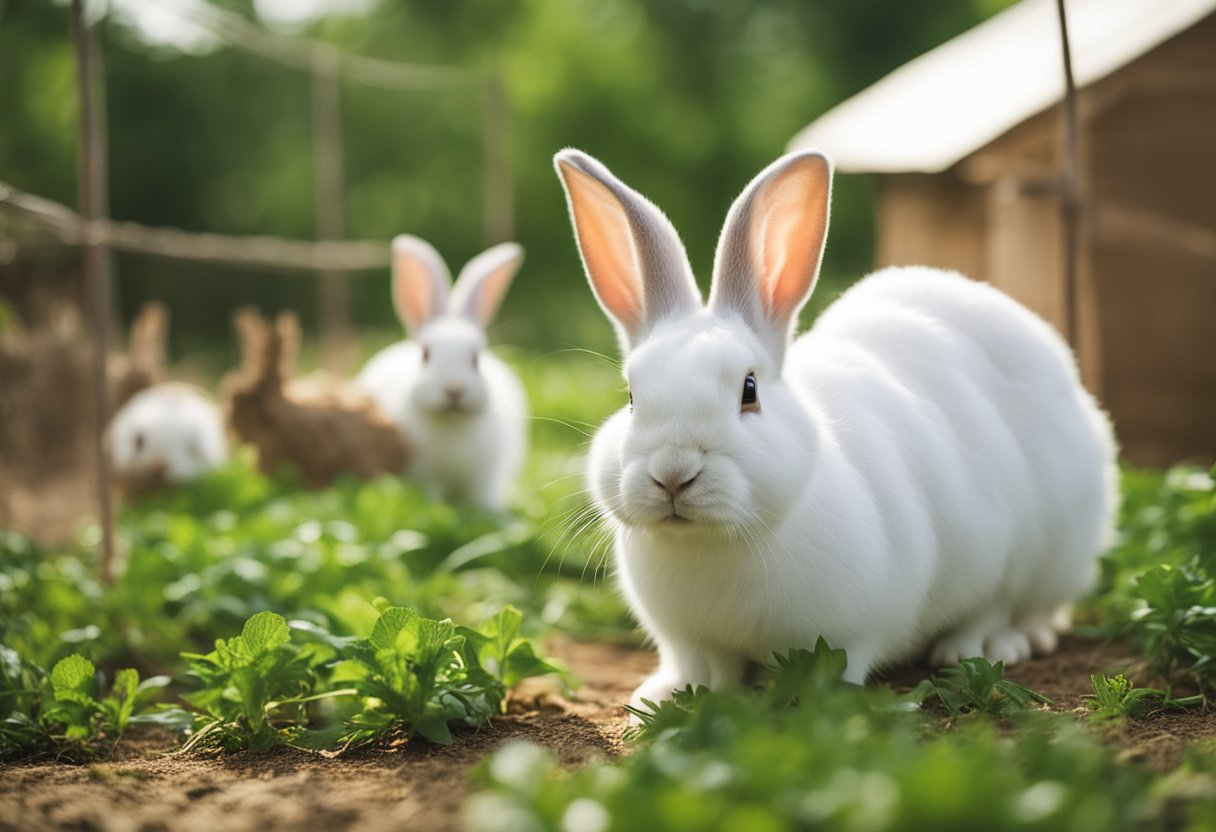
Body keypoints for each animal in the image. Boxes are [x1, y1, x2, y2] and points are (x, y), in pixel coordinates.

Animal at [356, 235, 529, 512]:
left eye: (476, 358)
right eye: (425, 355)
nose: (454, 390)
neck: (451, 423)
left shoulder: (485, 476)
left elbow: (482, 499)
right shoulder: (424, 474)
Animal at [553, 148, 1119, 709]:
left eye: (749, 390)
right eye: (631, 397)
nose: (673, 475)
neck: (713, 545)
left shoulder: (858, 629)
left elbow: (847, 661)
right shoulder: (688, 641)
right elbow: (695, 667)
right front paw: (660, 696)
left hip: (1039, 549)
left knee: (1010, 607)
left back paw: (988, 646)